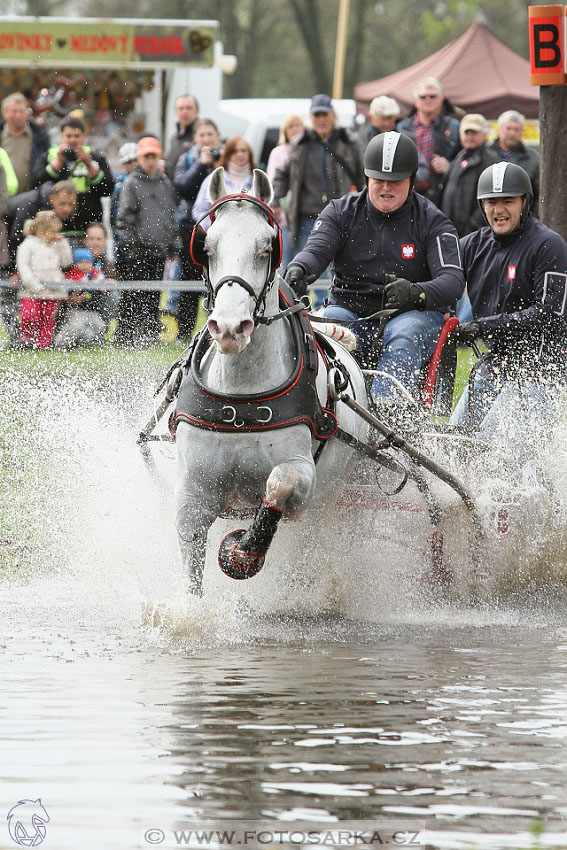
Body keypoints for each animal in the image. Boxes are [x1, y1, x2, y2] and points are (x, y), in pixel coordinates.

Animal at [171, 164, 370, 588]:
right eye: (207, 248)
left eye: (266, 248)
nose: (230, 328)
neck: (242, 398)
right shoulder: (193, 490)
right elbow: (191, 557)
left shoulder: (303, 477)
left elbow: (280, 483)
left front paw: (243, 551)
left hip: (330, 498)